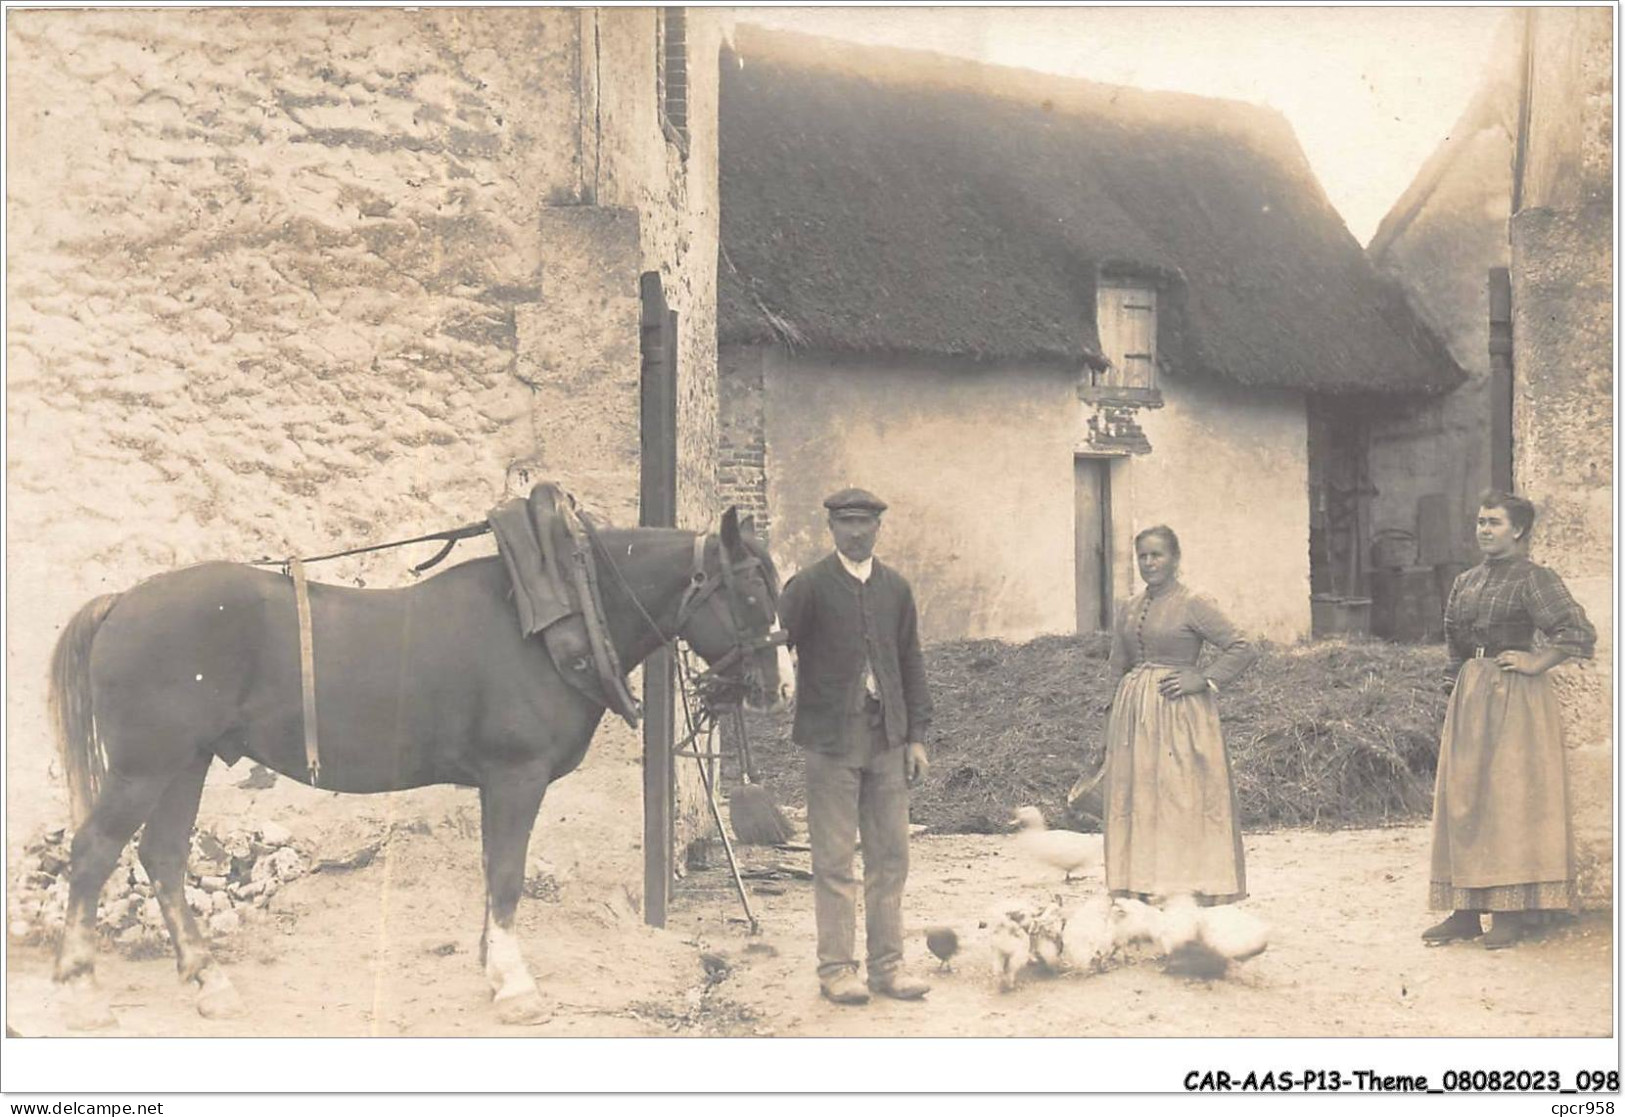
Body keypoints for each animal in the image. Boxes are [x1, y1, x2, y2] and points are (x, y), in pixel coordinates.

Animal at [47, 507, 789, 1034]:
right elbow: (507, 876)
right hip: (147, 767)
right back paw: (81, 991)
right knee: (94, 853)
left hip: (187, 763)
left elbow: (493, 873)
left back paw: (210, 985)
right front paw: (516, 987)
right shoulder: (515, 777)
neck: (559, 615)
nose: (770, 688)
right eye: (752, 588)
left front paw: (494, 970)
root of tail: (121, 602)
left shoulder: (500, 784)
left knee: (164, 857)